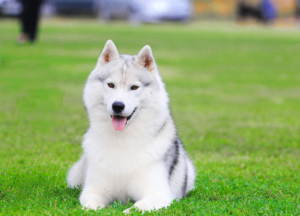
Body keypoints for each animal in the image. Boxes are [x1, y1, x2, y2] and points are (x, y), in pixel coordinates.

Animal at [67, 39, 196, 212]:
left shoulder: (157, 195)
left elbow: (135, 208)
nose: (118, 106)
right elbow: (91, 206)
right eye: (111, 85)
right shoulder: (92, 192)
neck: (122, 140)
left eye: (134, 87)